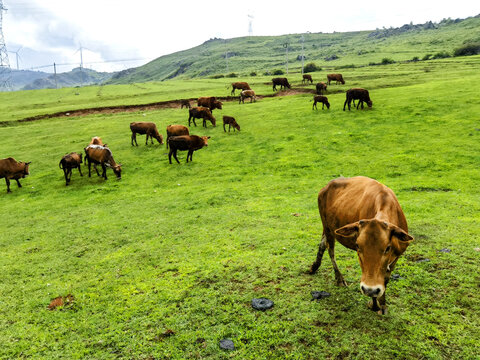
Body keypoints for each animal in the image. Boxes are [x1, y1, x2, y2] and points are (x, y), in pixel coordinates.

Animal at [312, 176, 412, 314]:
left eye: (388, 248)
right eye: (358, 246)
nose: (370, 289)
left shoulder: (396, 257)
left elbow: (385, 279)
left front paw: (382, 304)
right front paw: (374, 305)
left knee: (322, 243)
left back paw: (314, 266)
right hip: (327, 227)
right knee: (330, 249)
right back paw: (339, 278)